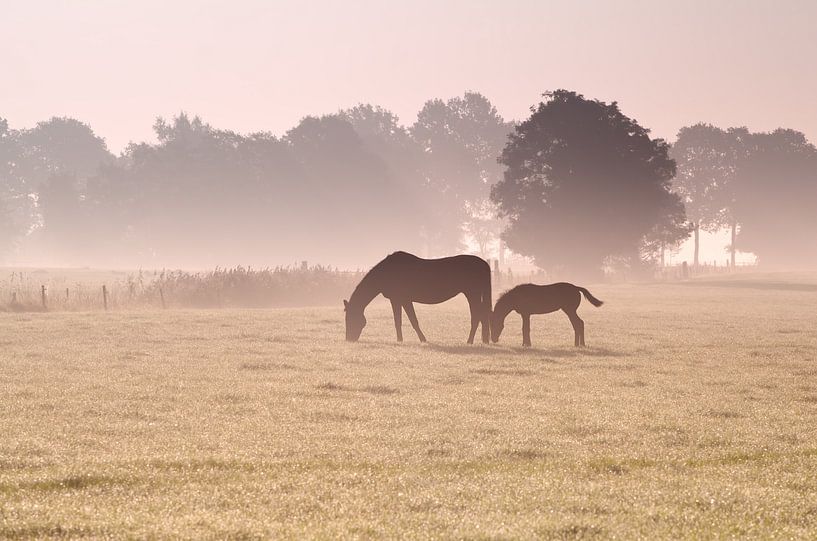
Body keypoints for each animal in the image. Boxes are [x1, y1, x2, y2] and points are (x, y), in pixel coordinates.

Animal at [342, 252, 490, 344]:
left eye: (351, 318)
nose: (349, 339)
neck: (388, 272)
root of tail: (483, 263)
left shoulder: (405, 300)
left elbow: (413, 321)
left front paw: (422, 339)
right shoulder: (396, 300)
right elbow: (398, 321)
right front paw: (400, 340)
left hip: (472, 294)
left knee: (477, 316)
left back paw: (469, 341)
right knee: (482, 316)